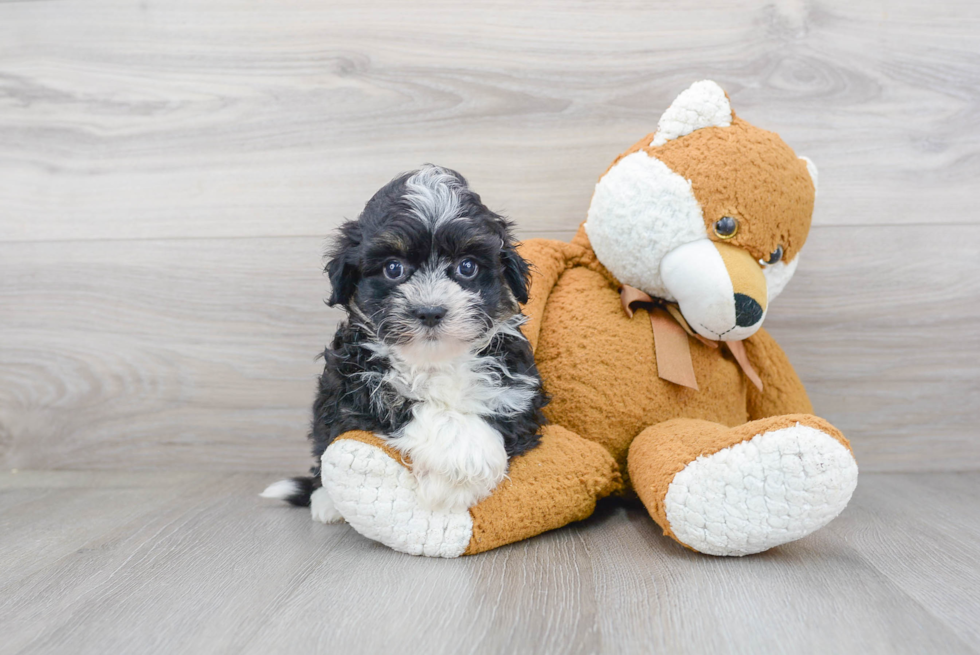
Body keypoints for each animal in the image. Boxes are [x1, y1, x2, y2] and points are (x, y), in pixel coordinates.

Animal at [260, 165, 548, 524]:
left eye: (467, 267)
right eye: (393, 268)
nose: (430, 311)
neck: (433, 360)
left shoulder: (518, 390)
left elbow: (499, 416)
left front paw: (459, 480)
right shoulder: (350, 386)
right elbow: (403, 404)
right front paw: (461, 465)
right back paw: (326, 502)